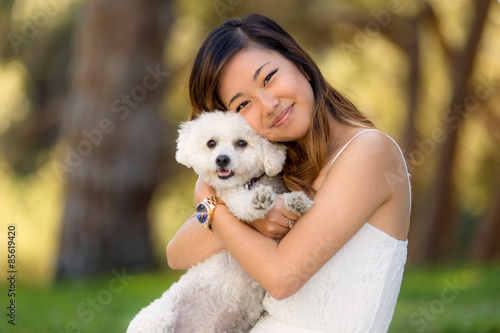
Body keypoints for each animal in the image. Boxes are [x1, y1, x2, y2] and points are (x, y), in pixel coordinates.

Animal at [125, 111, 312, 332]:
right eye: (211, 143)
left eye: (241, 143)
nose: (222, 159)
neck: (248, 184)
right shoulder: (230, 198)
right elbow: (242, 203)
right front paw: (259, 200)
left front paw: (297, 201)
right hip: (158, 319)